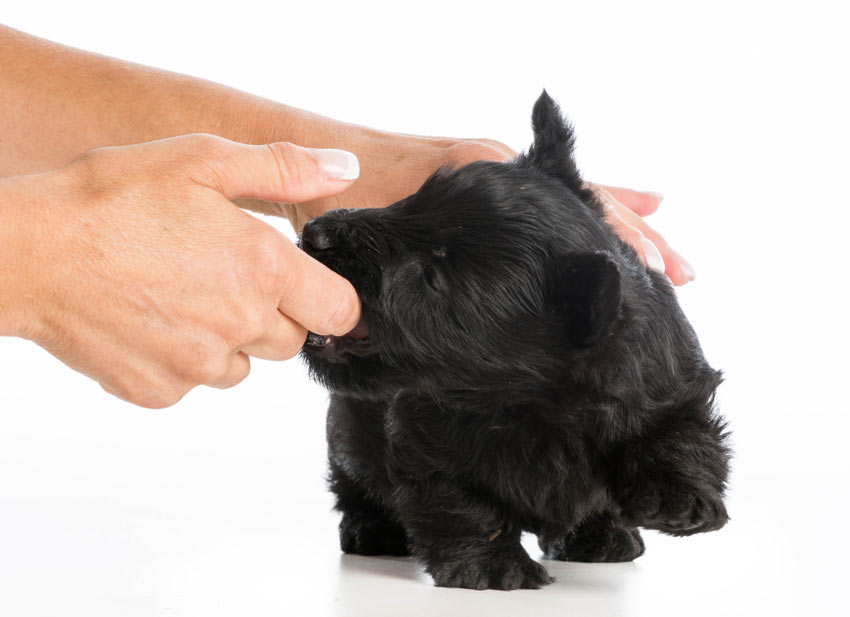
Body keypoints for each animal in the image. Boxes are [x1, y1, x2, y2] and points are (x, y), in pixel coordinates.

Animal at [298, 90, 728, 588]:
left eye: (432, 276)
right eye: (410, 202)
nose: (314, 232)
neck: (531, 397)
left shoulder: (671, 384)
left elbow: (682, 432)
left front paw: (682, 500)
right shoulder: (422, 437)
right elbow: (460, 502)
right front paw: (493, 567)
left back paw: (603, 536)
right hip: (348, 431)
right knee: (354, 484)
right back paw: (371, 530)